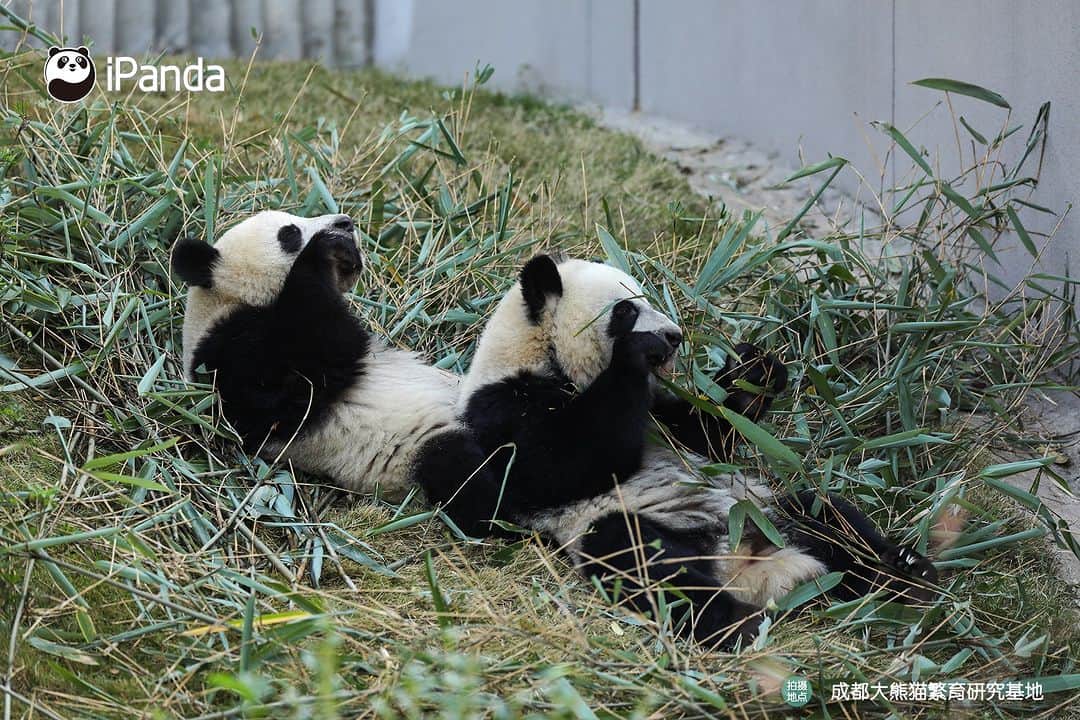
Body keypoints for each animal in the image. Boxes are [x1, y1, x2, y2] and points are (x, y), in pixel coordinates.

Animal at [173, 210, 459, 500]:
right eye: (289, 233)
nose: (345, 222)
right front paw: (328, 247)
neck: (225, 303)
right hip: (415, 448)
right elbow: (305, 375)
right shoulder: (228, 365)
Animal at [416, 254, 938, 648]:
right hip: (646, 529)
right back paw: (739, 624)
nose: (673, 336)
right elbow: (548, 468)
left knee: (828, 517)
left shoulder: (661, 413)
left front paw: (756, 367)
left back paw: (906, 573)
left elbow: (707, 434)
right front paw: (637, 351)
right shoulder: (501, 407)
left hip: (764, 508)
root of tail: (749, 562)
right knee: (643, 560)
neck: (540, 356)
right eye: (626, 310)